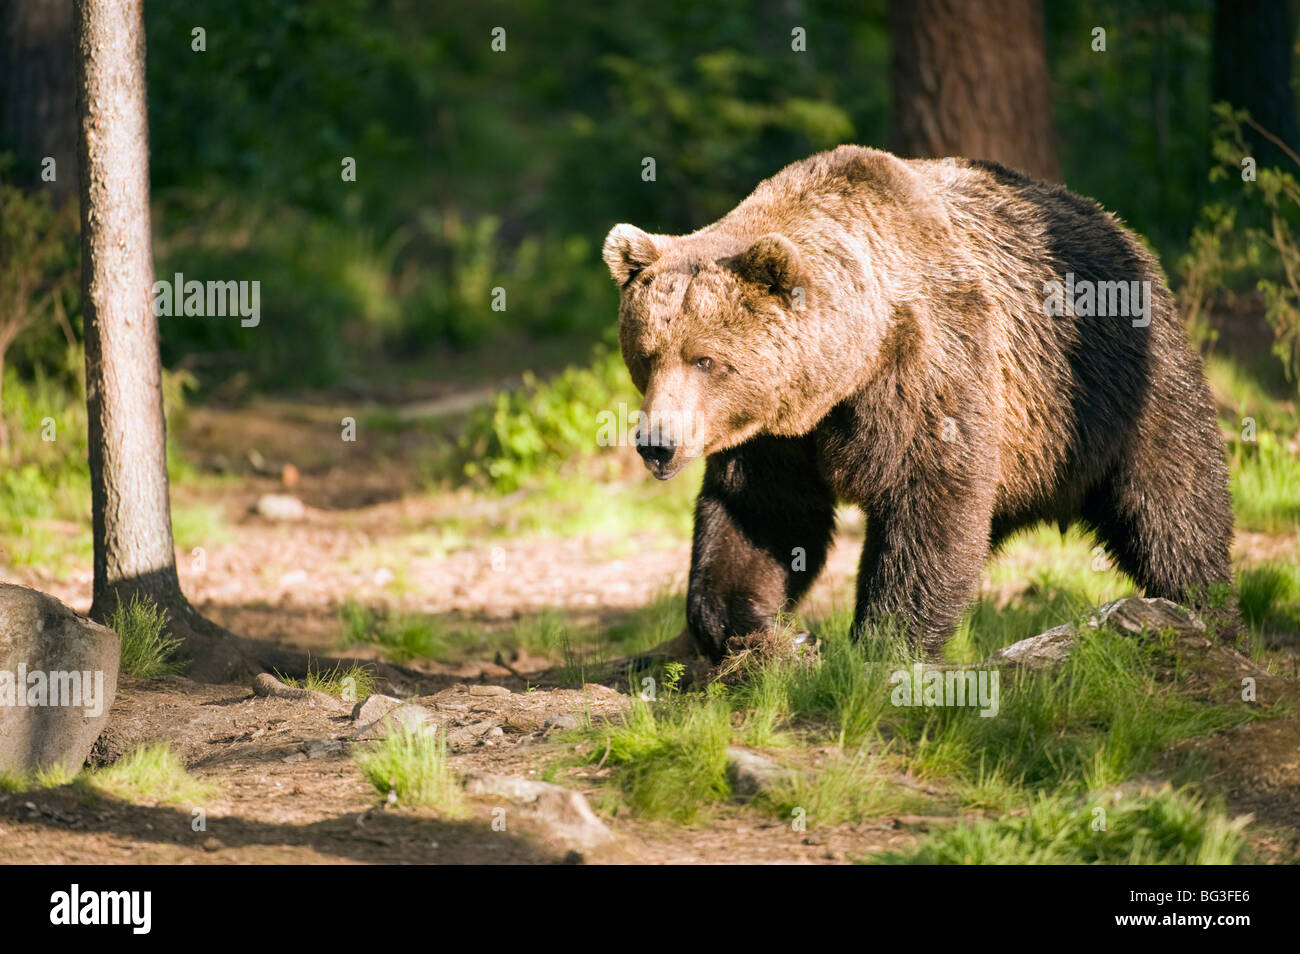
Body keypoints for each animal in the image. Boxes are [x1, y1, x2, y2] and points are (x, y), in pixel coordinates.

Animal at [603, 145, 1232, 660]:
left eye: (706, 360)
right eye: (646, 356)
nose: (657, 445)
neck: (848, 365)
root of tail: (1114, 221)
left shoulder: (932, 359)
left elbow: (928, 498)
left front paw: (881, 644)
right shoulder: (776, 429)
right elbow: (763, 513)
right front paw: (762, 631)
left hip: (1113, 382)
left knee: (1174, 501)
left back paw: (1203, 612)